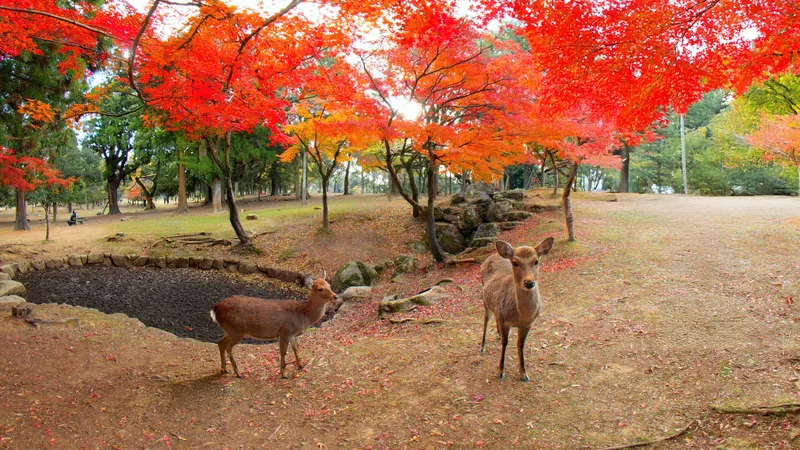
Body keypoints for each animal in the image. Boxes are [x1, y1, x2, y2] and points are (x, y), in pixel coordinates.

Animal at [480, 237, 555, 382]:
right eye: (515, 262)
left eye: (536, 261)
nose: (529, 282)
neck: (520, 315)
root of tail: (492, 255)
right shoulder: (504, 321)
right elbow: (505, 343)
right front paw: (500, 372)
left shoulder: (527, 324)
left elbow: (520, 345)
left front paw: (524, 374)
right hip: (485, 300)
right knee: (486, 320)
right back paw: (482, 347)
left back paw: (497, 334)